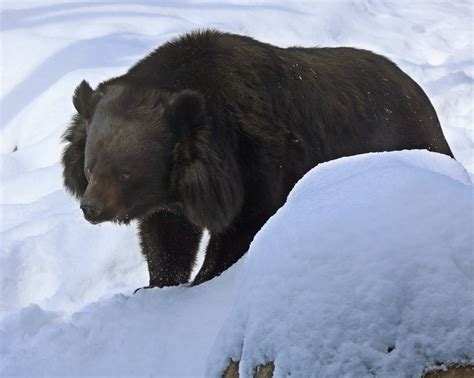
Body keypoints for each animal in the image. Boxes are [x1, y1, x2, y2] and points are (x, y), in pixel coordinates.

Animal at [61, 31, 454, 288]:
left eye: (126, 173)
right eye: (90, 167)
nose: (91, 208)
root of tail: (421, 97)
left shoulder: (258, 163)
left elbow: (243, 225)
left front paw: (204, 279)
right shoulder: (170, 199)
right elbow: (167, 236)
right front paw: (157, 284)